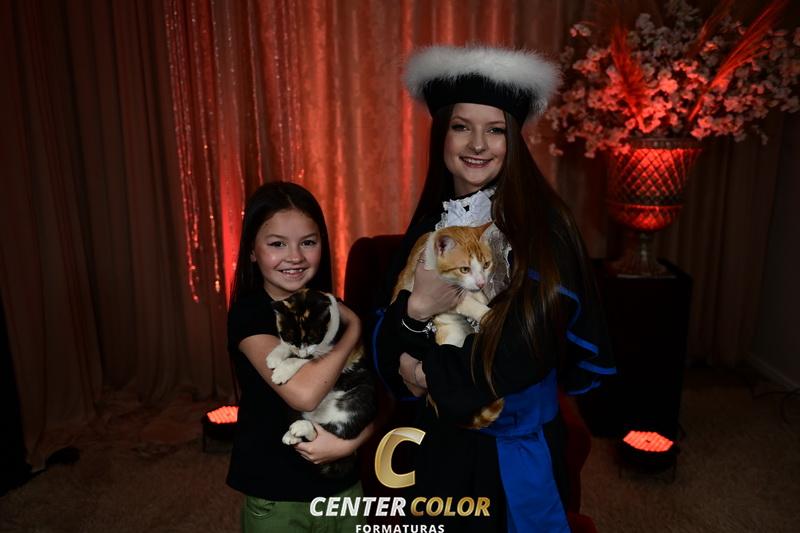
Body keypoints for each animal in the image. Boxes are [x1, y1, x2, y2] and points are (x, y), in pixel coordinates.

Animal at [265, 288, 376, 478]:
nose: (301, 350)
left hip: (363, 397)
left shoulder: (324, 349)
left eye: (312, 337)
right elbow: (288, 348)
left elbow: (303, 359)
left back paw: (300, 428)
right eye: (289, 336)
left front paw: (281, 371)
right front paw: (275, 355)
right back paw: (292, 434)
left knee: (336, 432)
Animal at [391, 222, 505, 429]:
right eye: (464, 269)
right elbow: (467, 303)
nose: (481, 282)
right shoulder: (445, 298)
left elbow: (478, 296)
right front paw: (488, 314)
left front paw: (485, 300)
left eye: (486, 265)